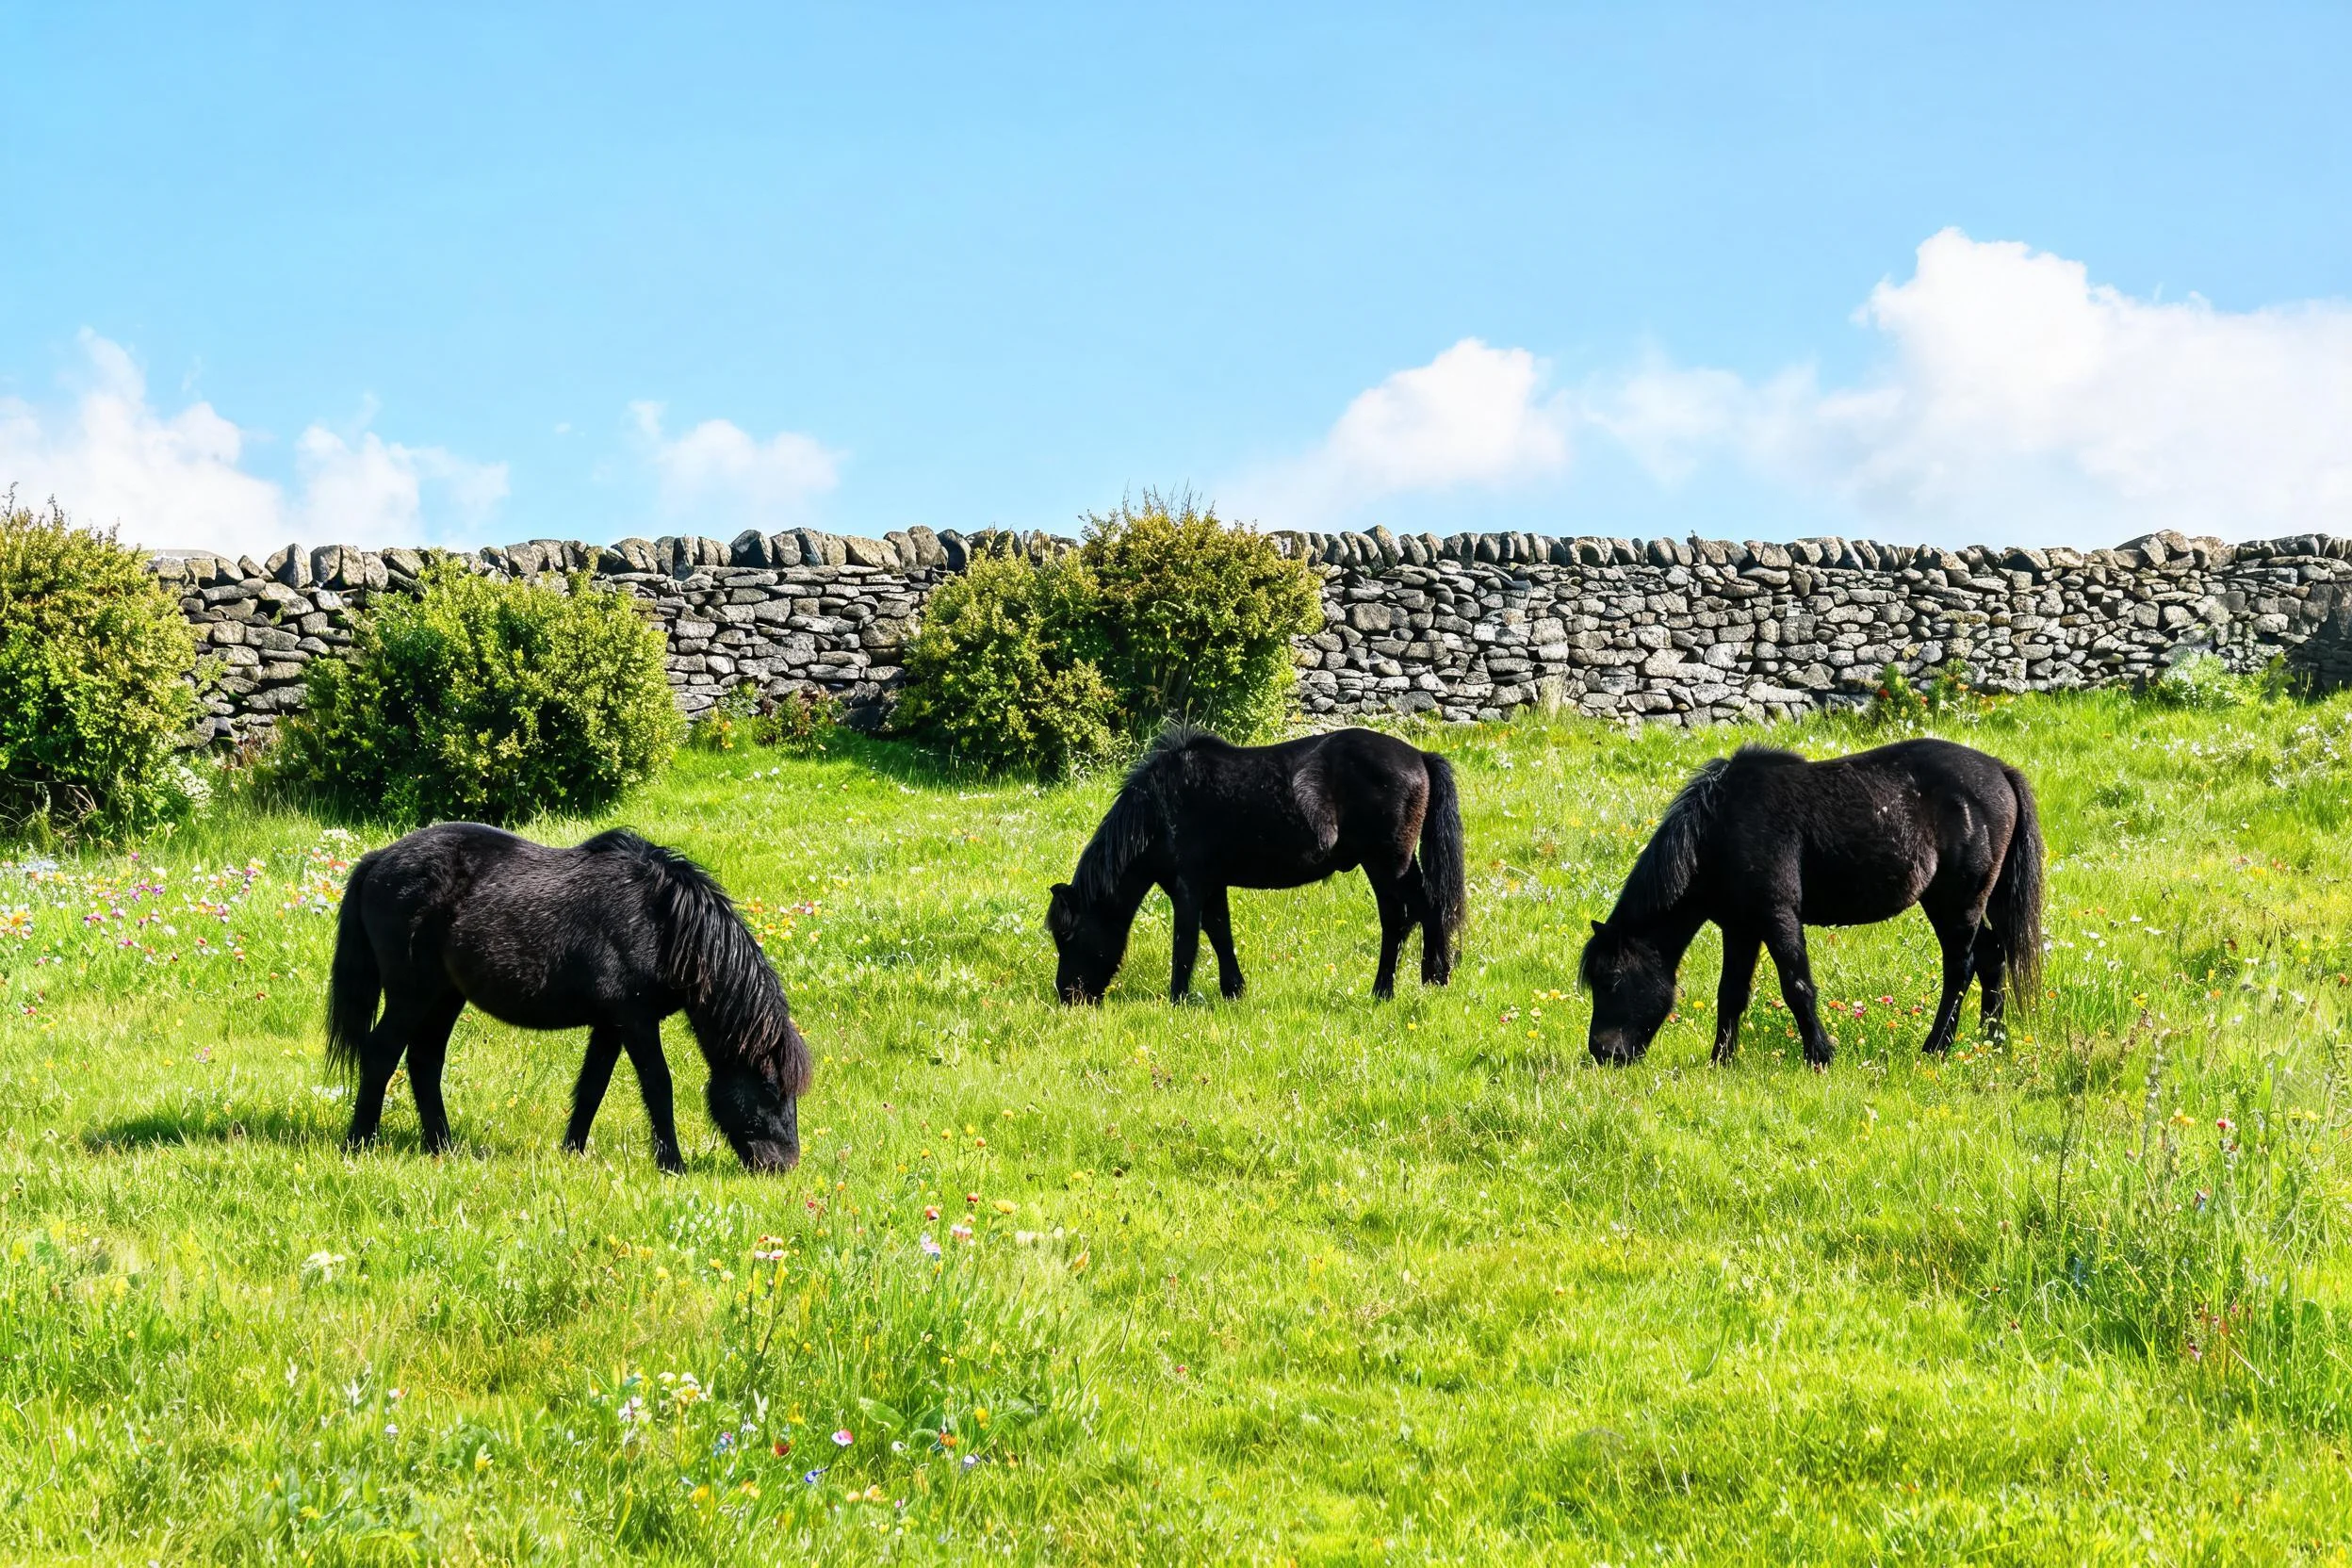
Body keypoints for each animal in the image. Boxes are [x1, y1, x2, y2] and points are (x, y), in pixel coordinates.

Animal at [326, 823, 811, 1173]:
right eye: (771, 1089)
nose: (783, 1166)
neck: (663, 923)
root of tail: (377, 860)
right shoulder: (636, 1021)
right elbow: (659, 1086)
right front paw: (673, 1164)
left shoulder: (611, 1024)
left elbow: (592, 1086)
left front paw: (573, 1151)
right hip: (411, 995)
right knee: (381, 1053)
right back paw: (360, 1142)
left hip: (444, 997)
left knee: (424, 1060)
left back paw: (442, 1146)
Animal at [1046, 725, 1466, 1004]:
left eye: (1067, 936)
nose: (1067, 995)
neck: (1157, 810)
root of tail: (1419, 756)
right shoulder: (1213, 885)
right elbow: (1219, 933)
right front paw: (1233, 990)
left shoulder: (1189, 886)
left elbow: (1185, 942)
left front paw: (1177, 999)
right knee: (1423, 913)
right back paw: (1426, 980)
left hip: (1387, 865)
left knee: (1407, 917)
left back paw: (1395, 987)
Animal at [1579, 737, 2043, 1067]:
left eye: (1612, 980)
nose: (1603, 1054)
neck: (1718, 829)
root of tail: (2000, 771)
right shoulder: (1740, 927)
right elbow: (1731, 993)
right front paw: (1720, 1062)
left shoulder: (1777, 916)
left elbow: (1797, 987)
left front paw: (1819, 1056)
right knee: (1992, 956)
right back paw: (1990, 1040)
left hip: (1957, 905)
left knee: (1961, 969)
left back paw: (1937, 1048)